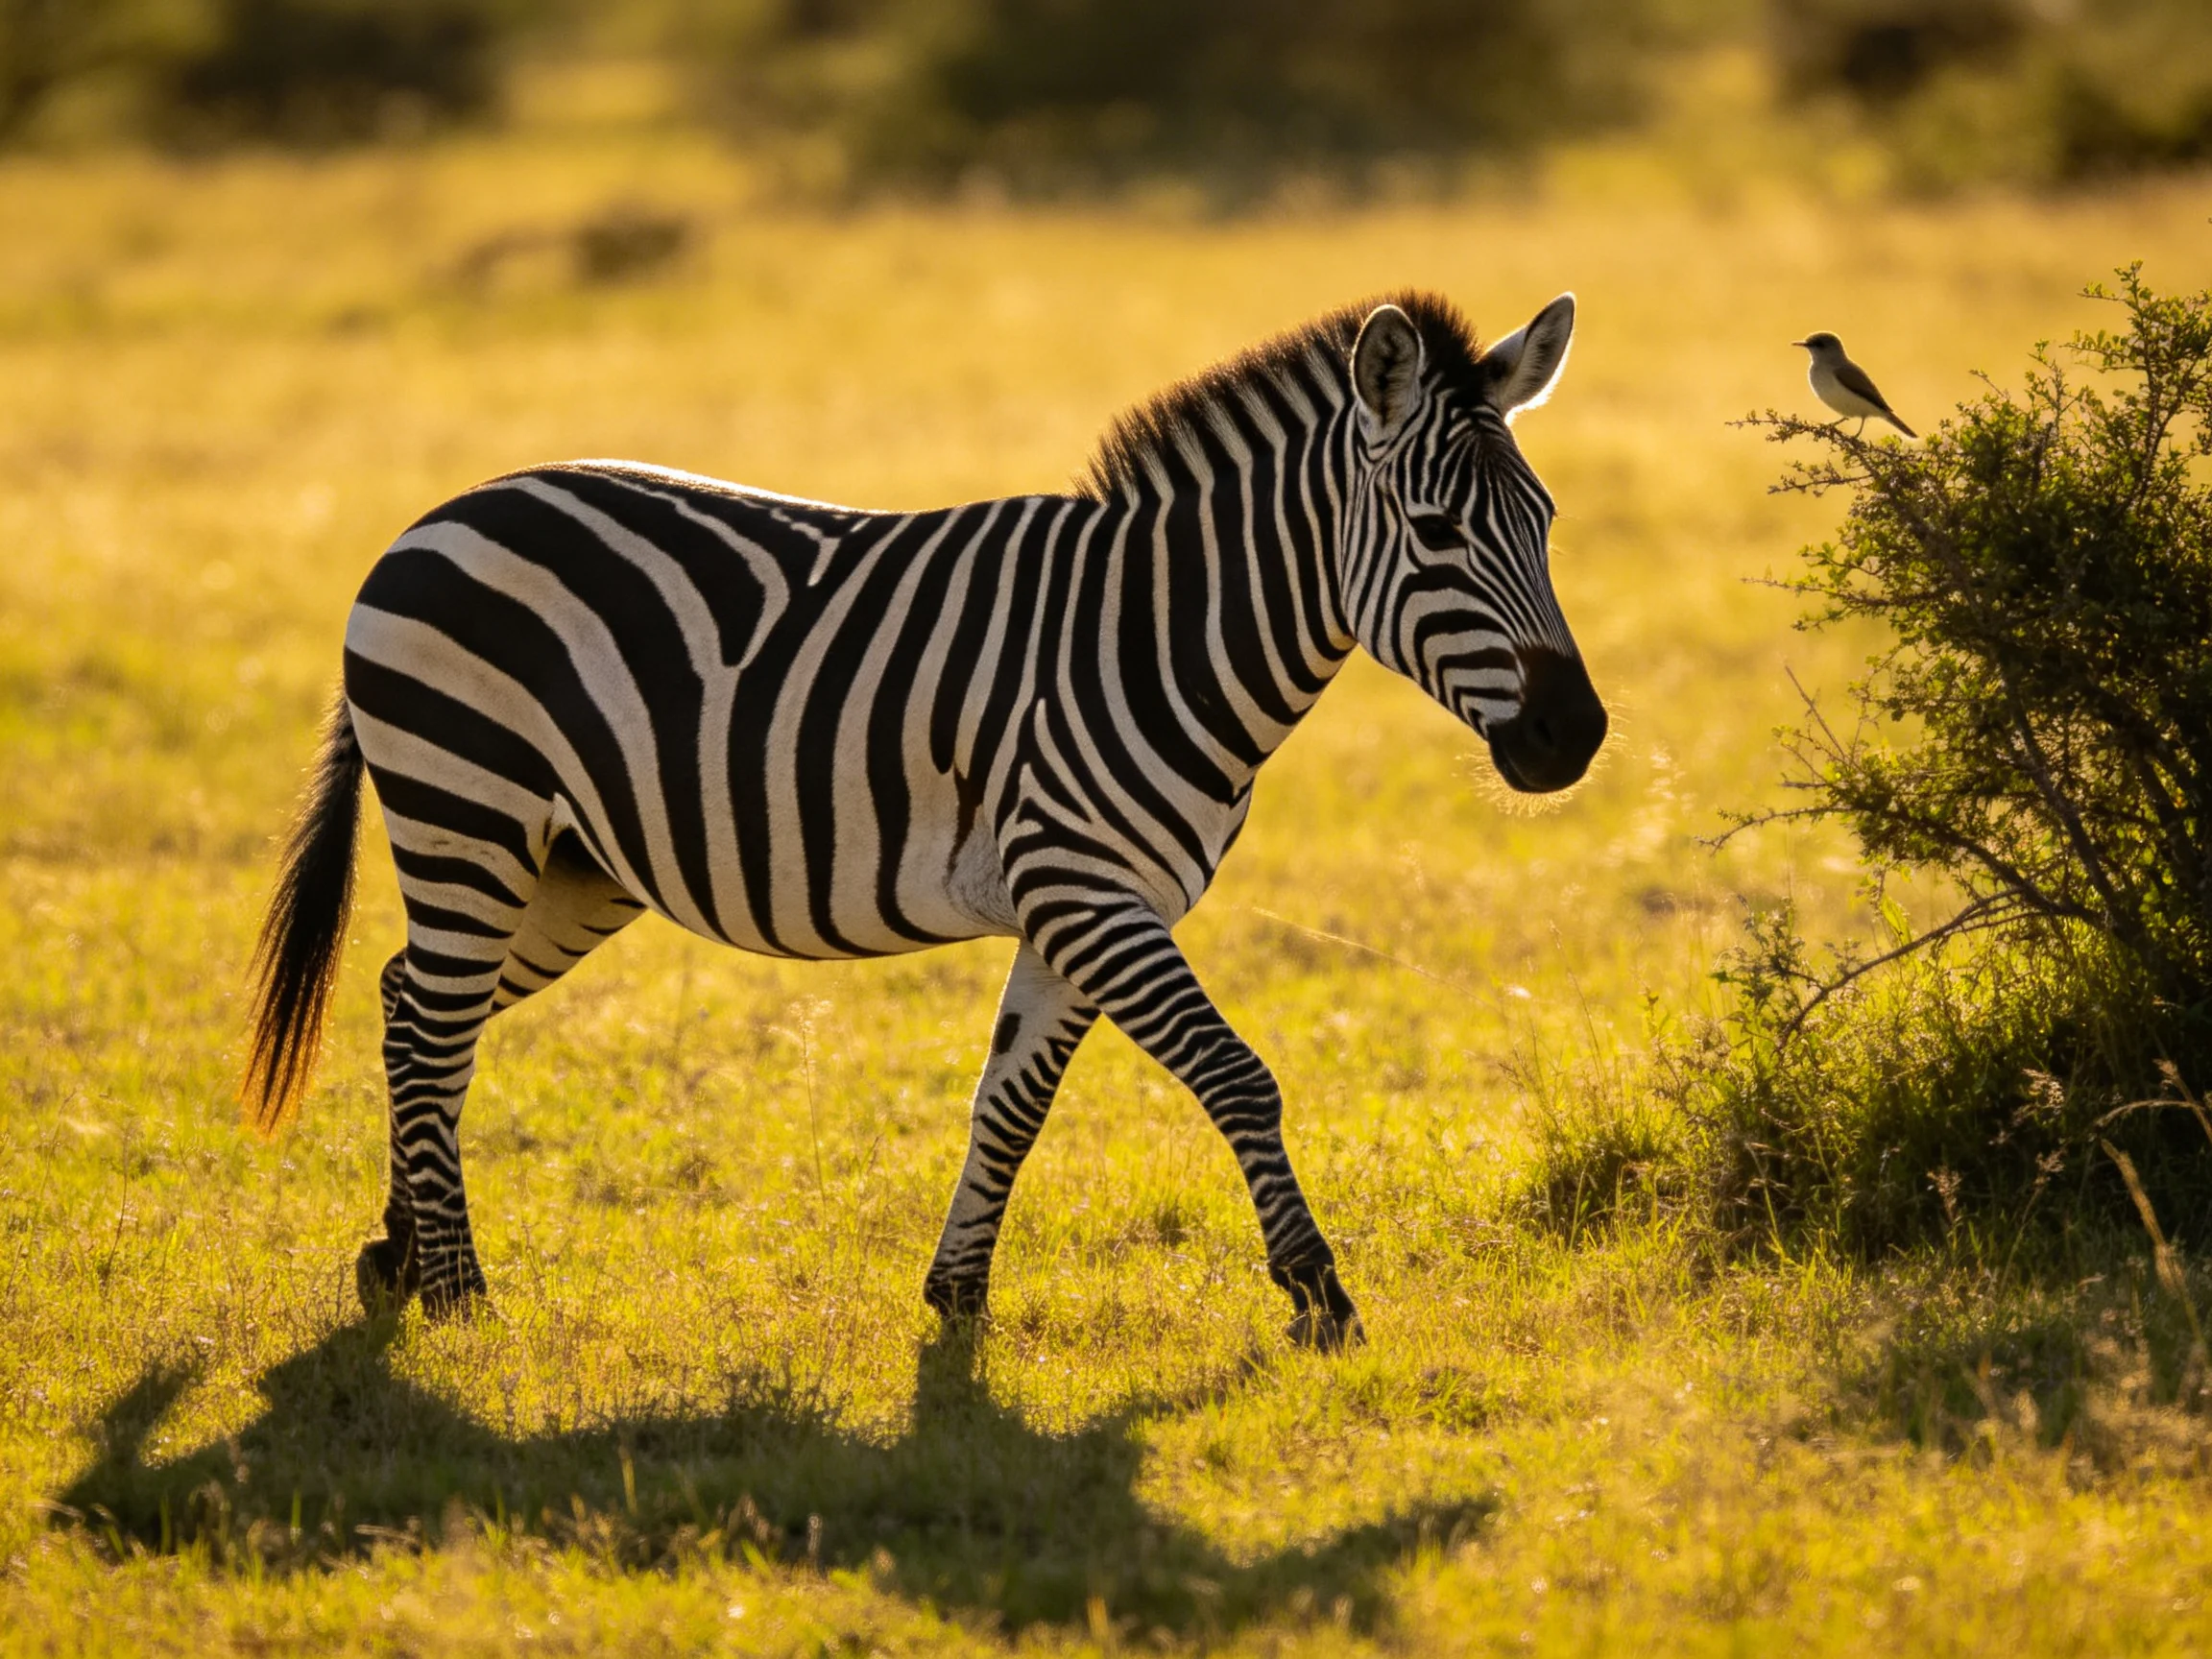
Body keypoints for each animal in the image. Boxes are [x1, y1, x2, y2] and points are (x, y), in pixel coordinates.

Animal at [244, 290, 1606, 1351]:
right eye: (1436, 533)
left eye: (1546, 523)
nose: (1574, 737)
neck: (1163, 634)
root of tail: (435, 517)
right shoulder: (1086, 887)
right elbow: (1238, 1075)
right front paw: (1319, 1294)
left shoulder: (1077, 909)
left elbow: (1010, 1102)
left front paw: (957, 1298)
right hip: (468, 814)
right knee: (432, 1029)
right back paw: (459, 1296)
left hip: (569, 868)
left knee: (411, 1006)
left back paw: (399, 1256)